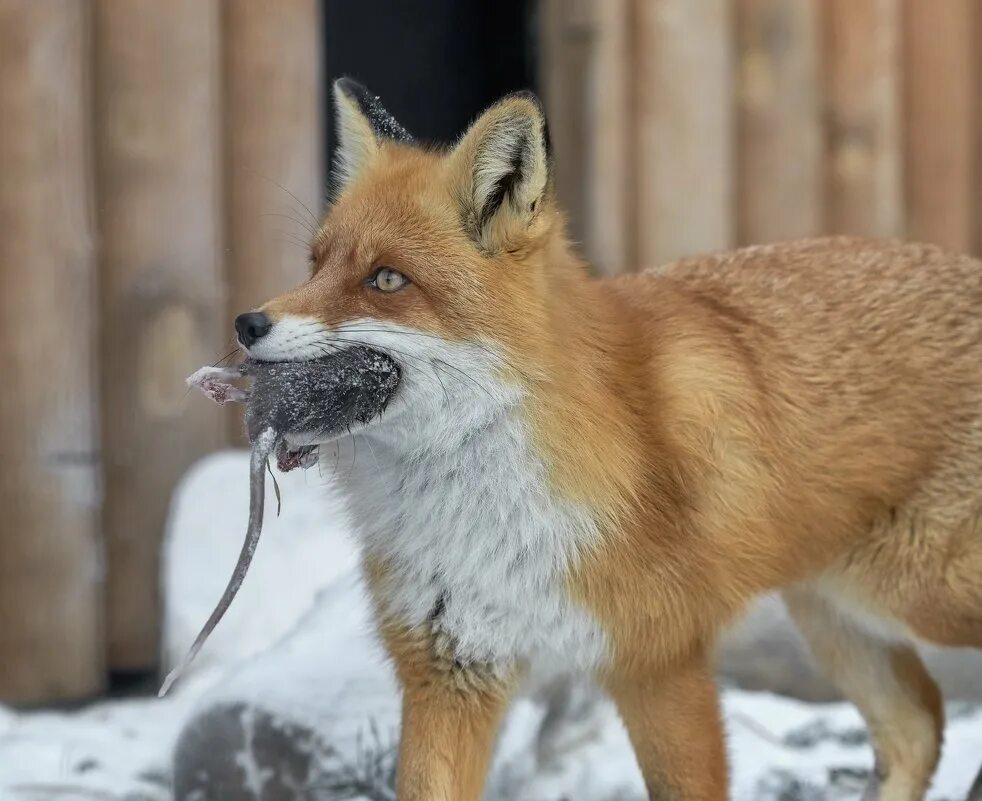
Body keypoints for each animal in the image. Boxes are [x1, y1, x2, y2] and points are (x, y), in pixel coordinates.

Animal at [234, 76, 982, 800]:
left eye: (386, 278)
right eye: (314, 264)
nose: (247, 323)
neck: (483, 513)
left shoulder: (659, 661)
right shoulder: (449, 667)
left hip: (917, 593)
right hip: (835, 610)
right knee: (919, 724)